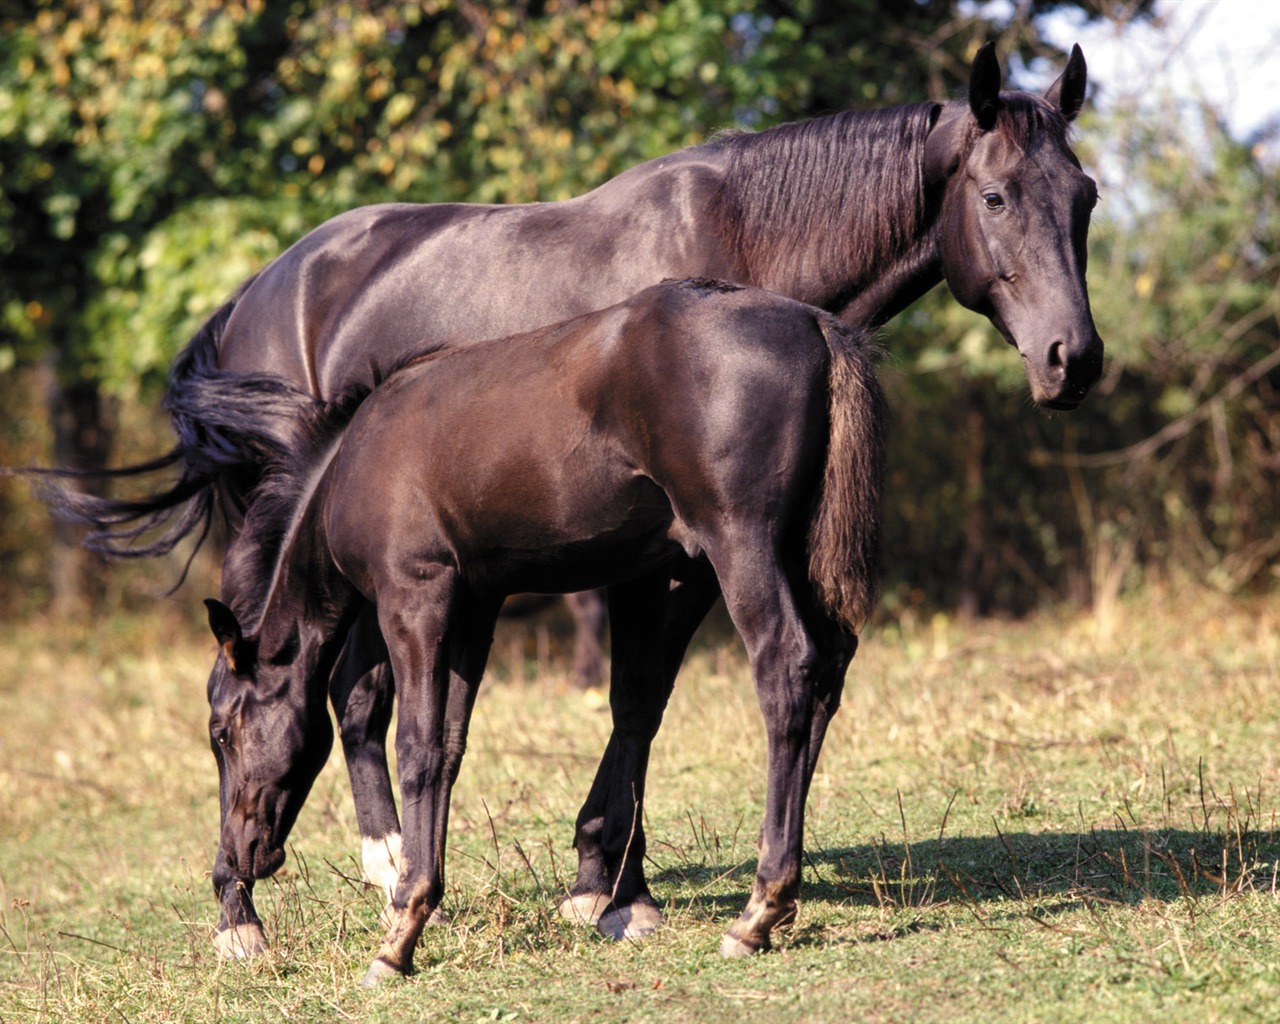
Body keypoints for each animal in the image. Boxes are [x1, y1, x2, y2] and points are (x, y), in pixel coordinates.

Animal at [199, 280, 885, 983]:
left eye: (221, 733)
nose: (239, 860)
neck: (350, 463)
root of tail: (816, 326)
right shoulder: (473, 608)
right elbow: (448, 749)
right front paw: (417, 906)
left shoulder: (415, 599)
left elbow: (416, 749)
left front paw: (400, 932)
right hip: (794, 550)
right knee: (828, 667)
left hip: (739, 542)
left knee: (786, 666)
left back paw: (758, 910)